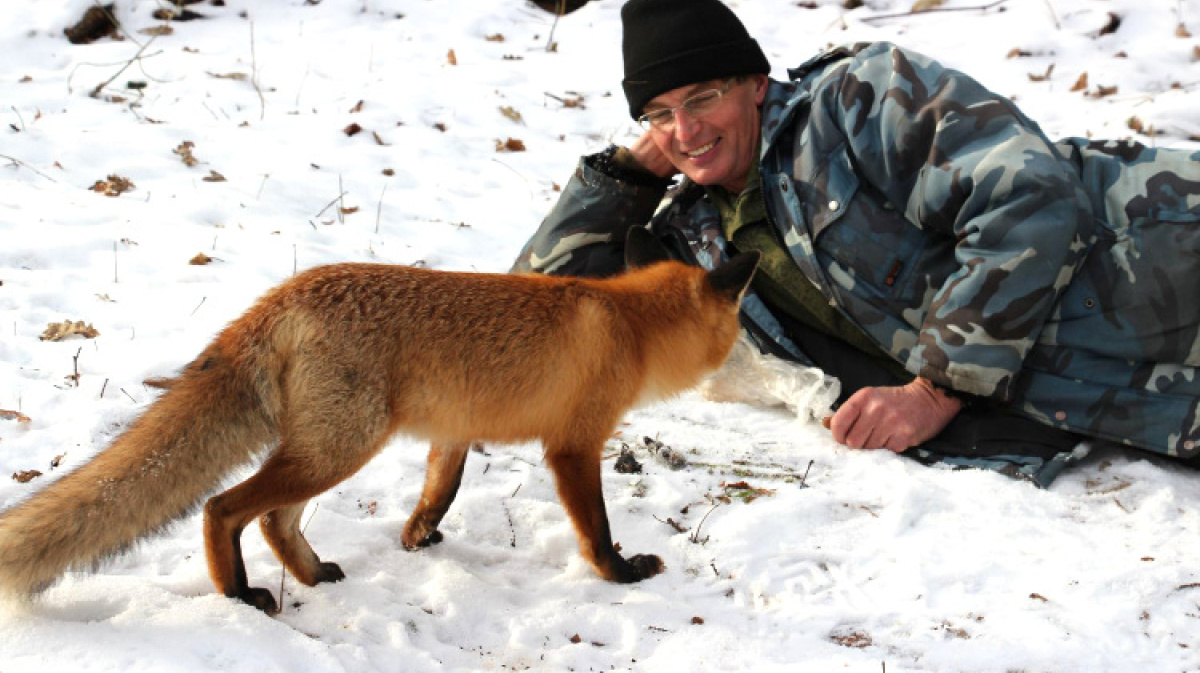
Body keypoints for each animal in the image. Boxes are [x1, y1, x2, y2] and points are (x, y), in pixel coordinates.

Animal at [0, 226, 753, 614]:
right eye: (739, 324)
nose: (747, 355)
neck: (628, 324)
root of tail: (278, 298)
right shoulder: (573, 444)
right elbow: (595, 528)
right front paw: (621, 574)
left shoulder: (454, 430)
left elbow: (438, 492)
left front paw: (417, 539)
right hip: (343, 447)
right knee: (224, 508)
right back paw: (239, 593)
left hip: (328, 447)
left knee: (273, 520)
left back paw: (308, 575)